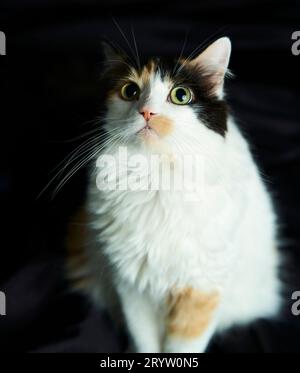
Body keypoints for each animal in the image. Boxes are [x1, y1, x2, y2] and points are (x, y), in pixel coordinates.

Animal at [65, 37, 282, 352]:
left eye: (180, 95)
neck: (157, 175)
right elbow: (145, 342)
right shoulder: (133, 287)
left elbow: (181, 346)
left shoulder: (201, 289)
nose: (147, 112)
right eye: (130, 91)